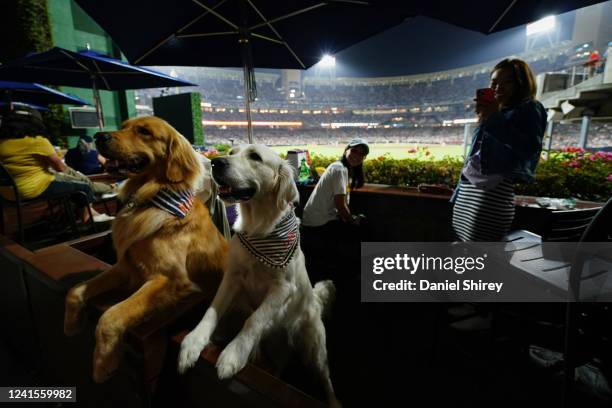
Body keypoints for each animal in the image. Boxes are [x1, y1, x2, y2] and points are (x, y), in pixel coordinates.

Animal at [177, 145, 340, 406]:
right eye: (231, 152)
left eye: (255, 157)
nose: (216, 163)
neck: (259, 230)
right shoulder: (232, 276)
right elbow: (213, 310)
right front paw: (194, 341)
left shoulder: (283, 287)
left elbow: (254, 319)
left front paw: (234, 353)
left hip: (315, 348)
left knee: (325, 380)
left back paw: (333, 401)